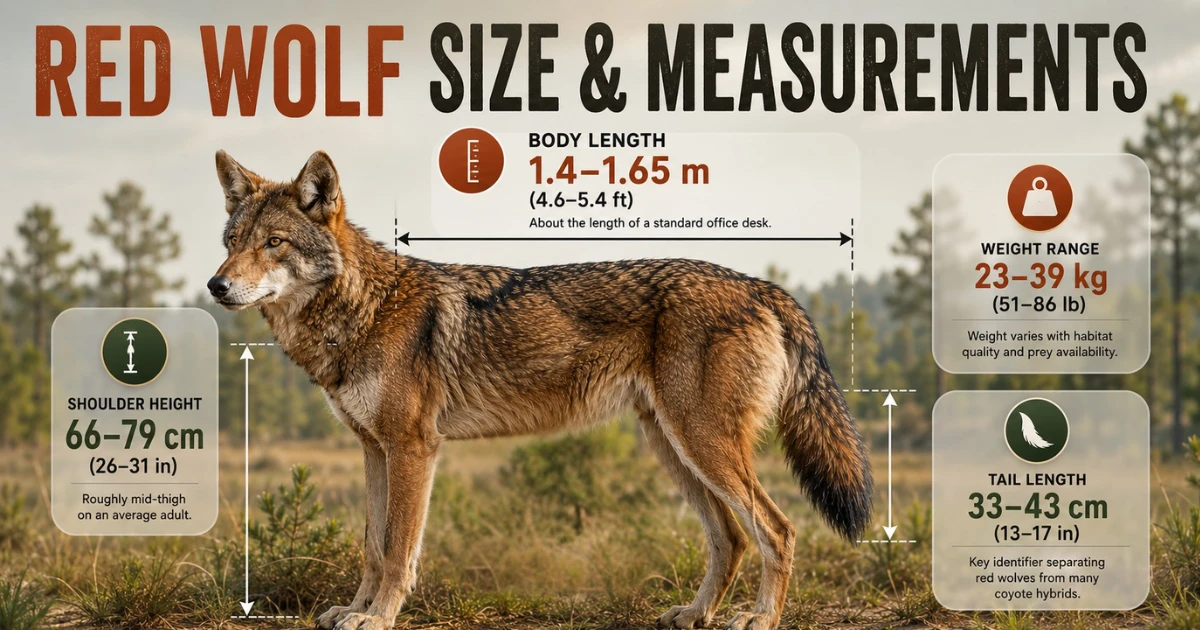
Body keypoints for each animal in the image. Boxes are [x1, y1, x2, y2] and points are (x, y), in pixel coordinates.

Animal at [208, 150, 872, 630]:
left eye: (274, 243)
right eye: (231, 242)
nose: (216, 285)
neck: (362, 310)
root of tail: (763, 286)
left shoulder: (414, 448)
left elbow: (398, 551)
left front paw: (378, 619)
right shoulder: (374, 449)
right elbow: (373, 546)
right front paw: (355, 609)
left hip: (702, 445)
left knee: (777, 530)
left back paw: (758, 619)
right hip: (674, 448)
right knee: (731, 538)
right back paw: (694, 614)